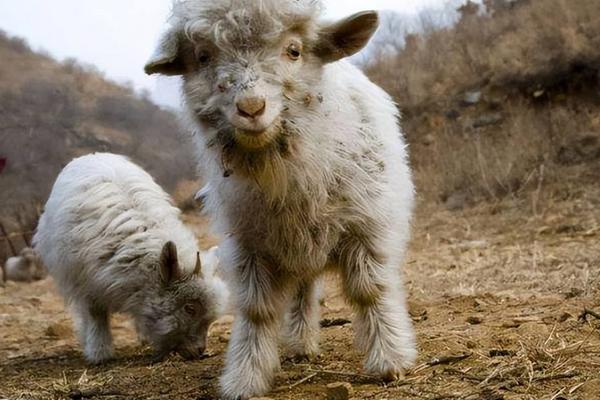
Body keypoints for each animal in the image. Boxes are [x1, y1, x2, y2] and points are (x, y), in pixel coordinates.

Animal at [33, 154, 230, 366]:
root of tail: (91, 156)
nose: (200, 351)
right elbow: (95, 314)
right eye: (190, 309)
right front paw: (99, 353)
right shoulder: (88, 283)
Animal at [146, 1, 418, 398]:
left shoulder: (366, 228)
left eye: (294, 50)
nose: (251, 107)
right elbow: (256, 311)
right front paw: (245, 377)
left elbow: (370, 291)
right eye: (203, 55)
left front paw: (390, 360)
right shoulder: (249, 245)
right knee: (303, 290)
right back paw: (300, 345)